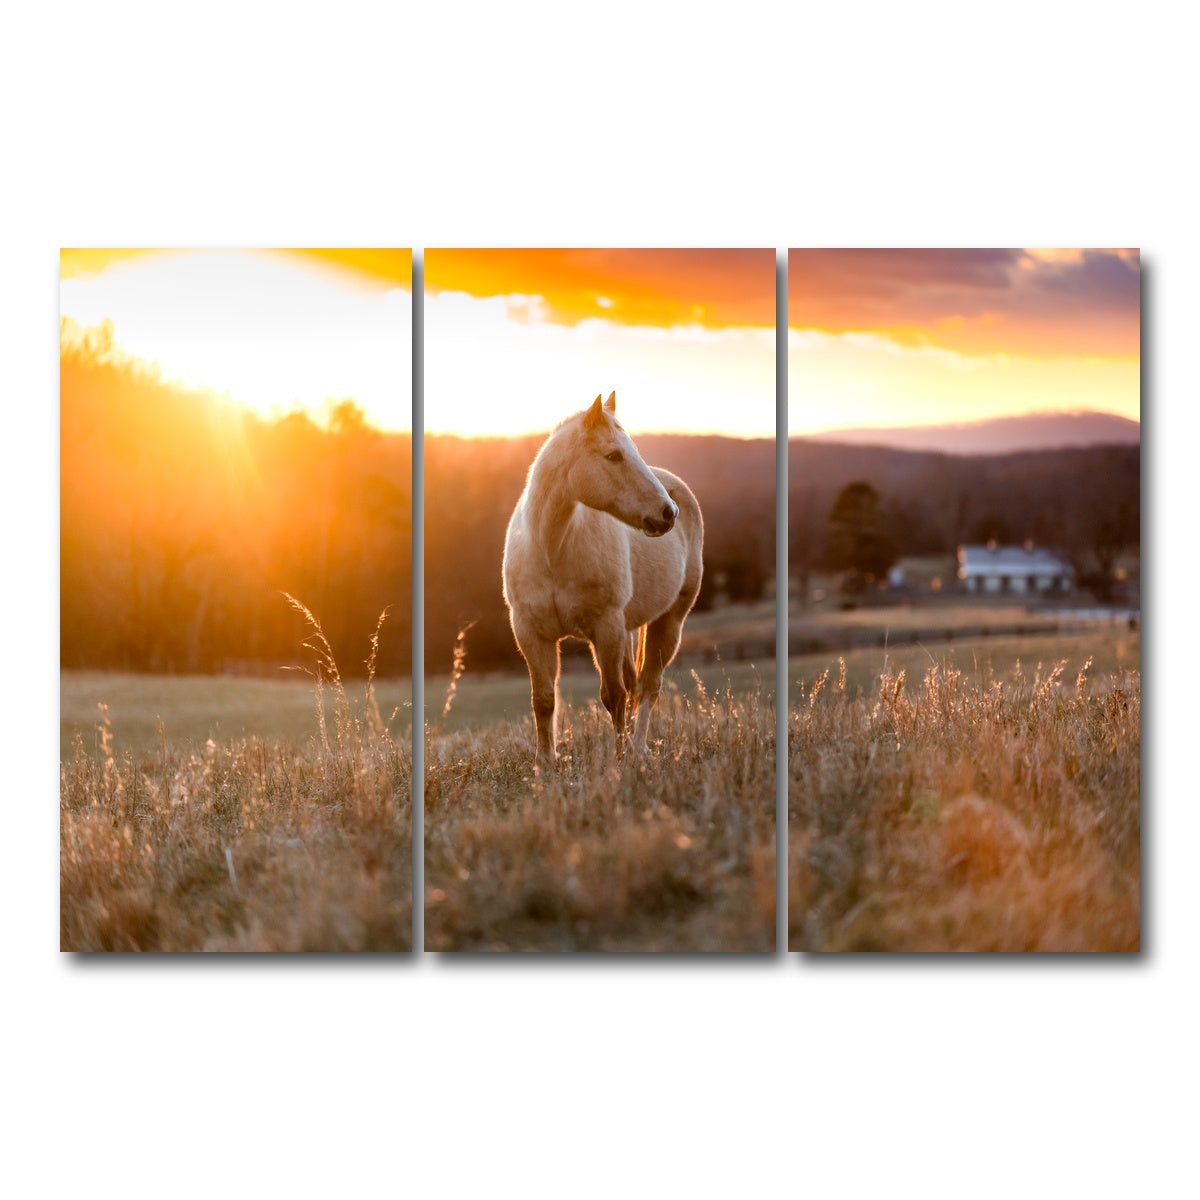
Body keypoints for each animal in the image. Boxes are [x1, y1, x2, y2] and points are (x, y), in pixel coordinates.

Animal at [502, 391, 704, 770]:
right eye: (613, 455)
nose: (667, 513)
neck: (552, 549)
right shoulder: (530, 632)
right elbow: (544, 699)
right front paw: (544, 764)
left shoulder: (605, 628)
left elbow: (613, 696)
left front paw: (619, 759)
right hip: (628, 628)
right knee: (637, 683)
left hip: (668, 623)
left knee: (648, 685)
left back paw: (638, 749)